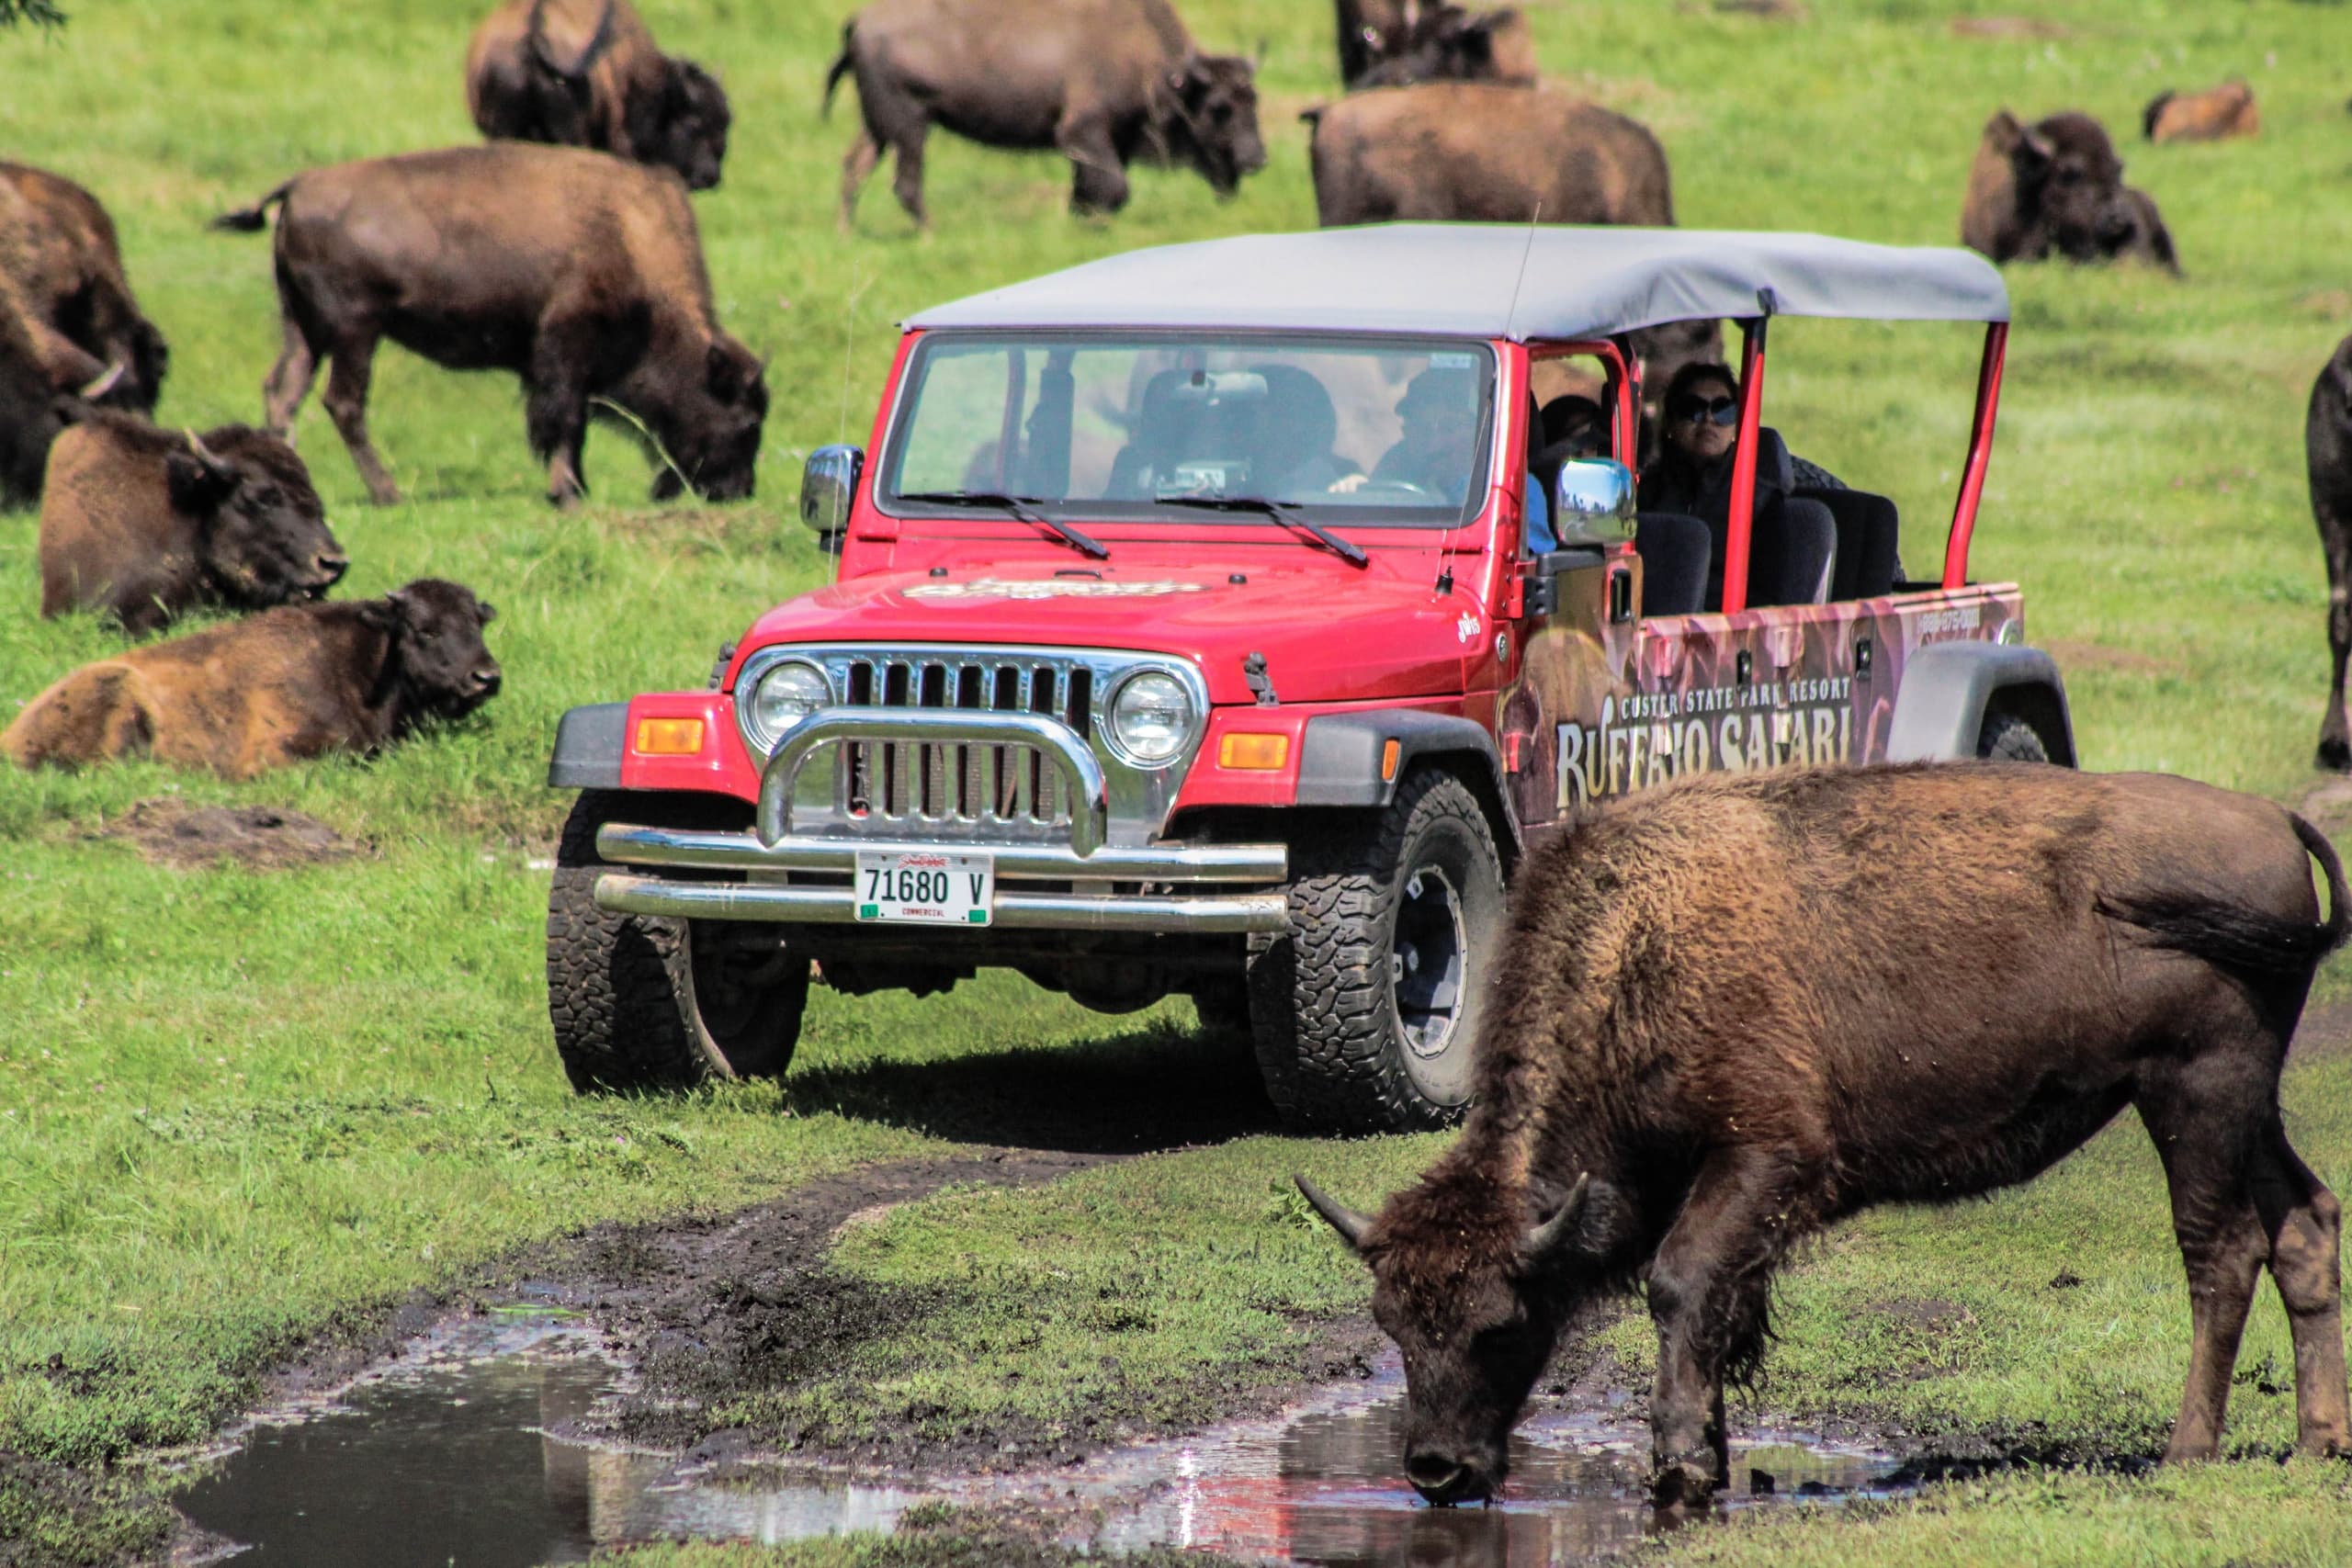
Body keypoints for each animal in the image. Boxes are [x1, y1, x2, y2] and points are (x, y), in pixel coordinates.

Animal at [212, 144, 767, 508]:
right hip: (355, 330)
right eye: (746, 421)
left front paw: (576, 488)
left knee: (283, 393)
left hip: (305, 329)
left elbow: (571, 425)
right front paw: (567, 494)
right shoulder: (565, 349)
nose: (737, 492)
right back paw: (389, 493)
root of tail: (299, 186)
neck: (629, 234)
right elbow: (565, 421)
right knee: (342, 403)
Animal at [825, 0, 1266, 226]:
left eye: (1254, 99)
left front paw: (1079, 222)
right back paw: (929, 233)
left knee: (854, 166)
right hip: (910, 125)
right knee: (905, 182)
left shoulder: (1109, 141)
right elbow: (1114, 188)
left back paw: (848, 233)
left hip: (878, 127)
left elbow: (1089, 189)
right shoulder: (1083, 132)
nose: (1257, 159)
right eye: (1219, 108)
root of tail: (859, 21)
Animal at [1300, 765, 2350, 1508]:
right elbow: (1716, 1309)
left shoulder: (1766, 1157)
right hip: (2245, 1100)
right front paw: (1708, 1449)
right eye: (1393, 1324)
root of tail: (2274, 822)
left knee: (2221, 1251)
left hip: (2194, 1089)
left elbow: (1681, 1286)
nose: (1435, 1470)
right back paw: (2316, 1444)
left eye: (1501, 1323)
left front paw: (1680, 1466)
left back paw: (2186, 1451)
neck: (1641, 948)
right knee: (2303, 1223)